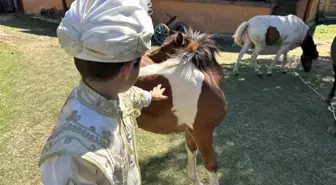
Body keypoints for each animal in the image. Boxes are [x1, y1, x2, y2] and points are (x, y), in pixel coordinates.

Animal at [133, 29, 226, 185]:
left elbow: (191, 151)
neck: (207, 82)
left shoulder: (190, 131)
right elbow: (211, 165)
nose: (149, 56)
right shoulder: (202, 132)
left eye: (165, 48)